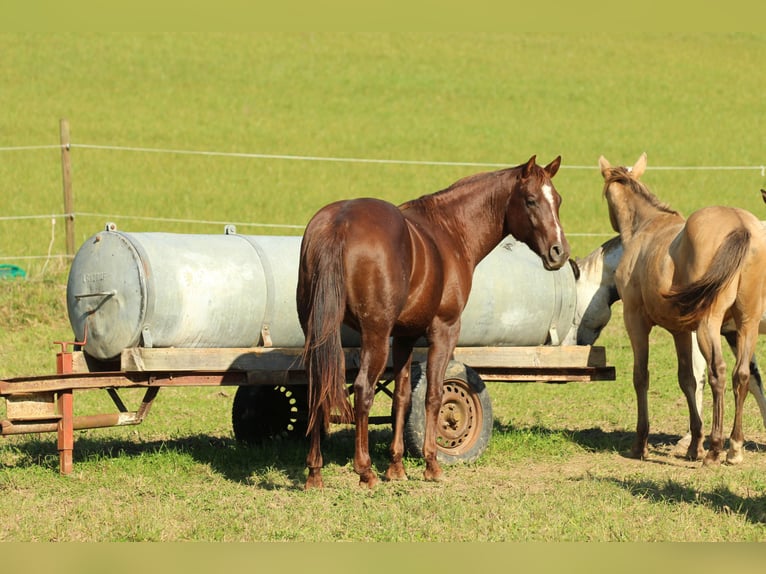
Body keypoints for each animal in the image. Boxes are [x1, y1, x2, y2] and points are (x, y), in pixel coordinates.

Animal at [296, 155, 569, 489]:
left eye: (557, 200)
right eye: (531, 200)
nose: (559, 252)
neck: (449, 231)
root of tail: (340, 223)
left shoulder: (404, 337)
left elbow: (401, 399)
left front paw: (397, 467)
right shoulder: (444, 329)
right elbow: (434, 395)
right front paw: (431, 464)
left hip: (318, 333)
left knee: (317, 387)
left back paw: (315, 471)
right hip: (375, 335)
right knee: (362, 389)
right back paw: (365, 471)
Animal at [599, 152, 766, 465]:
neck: (647, 227)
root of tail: (740, 225)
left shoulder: (635, 322)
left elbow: (641, 376)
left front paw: (640, 444)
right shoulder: (680, 331)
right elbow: (687, 379)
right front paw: (693, 444)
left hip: (709, 326)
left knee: (719, 373)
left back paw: (715, 450)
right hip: (746, 324)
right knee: (742, 376)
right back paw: (734, 448)